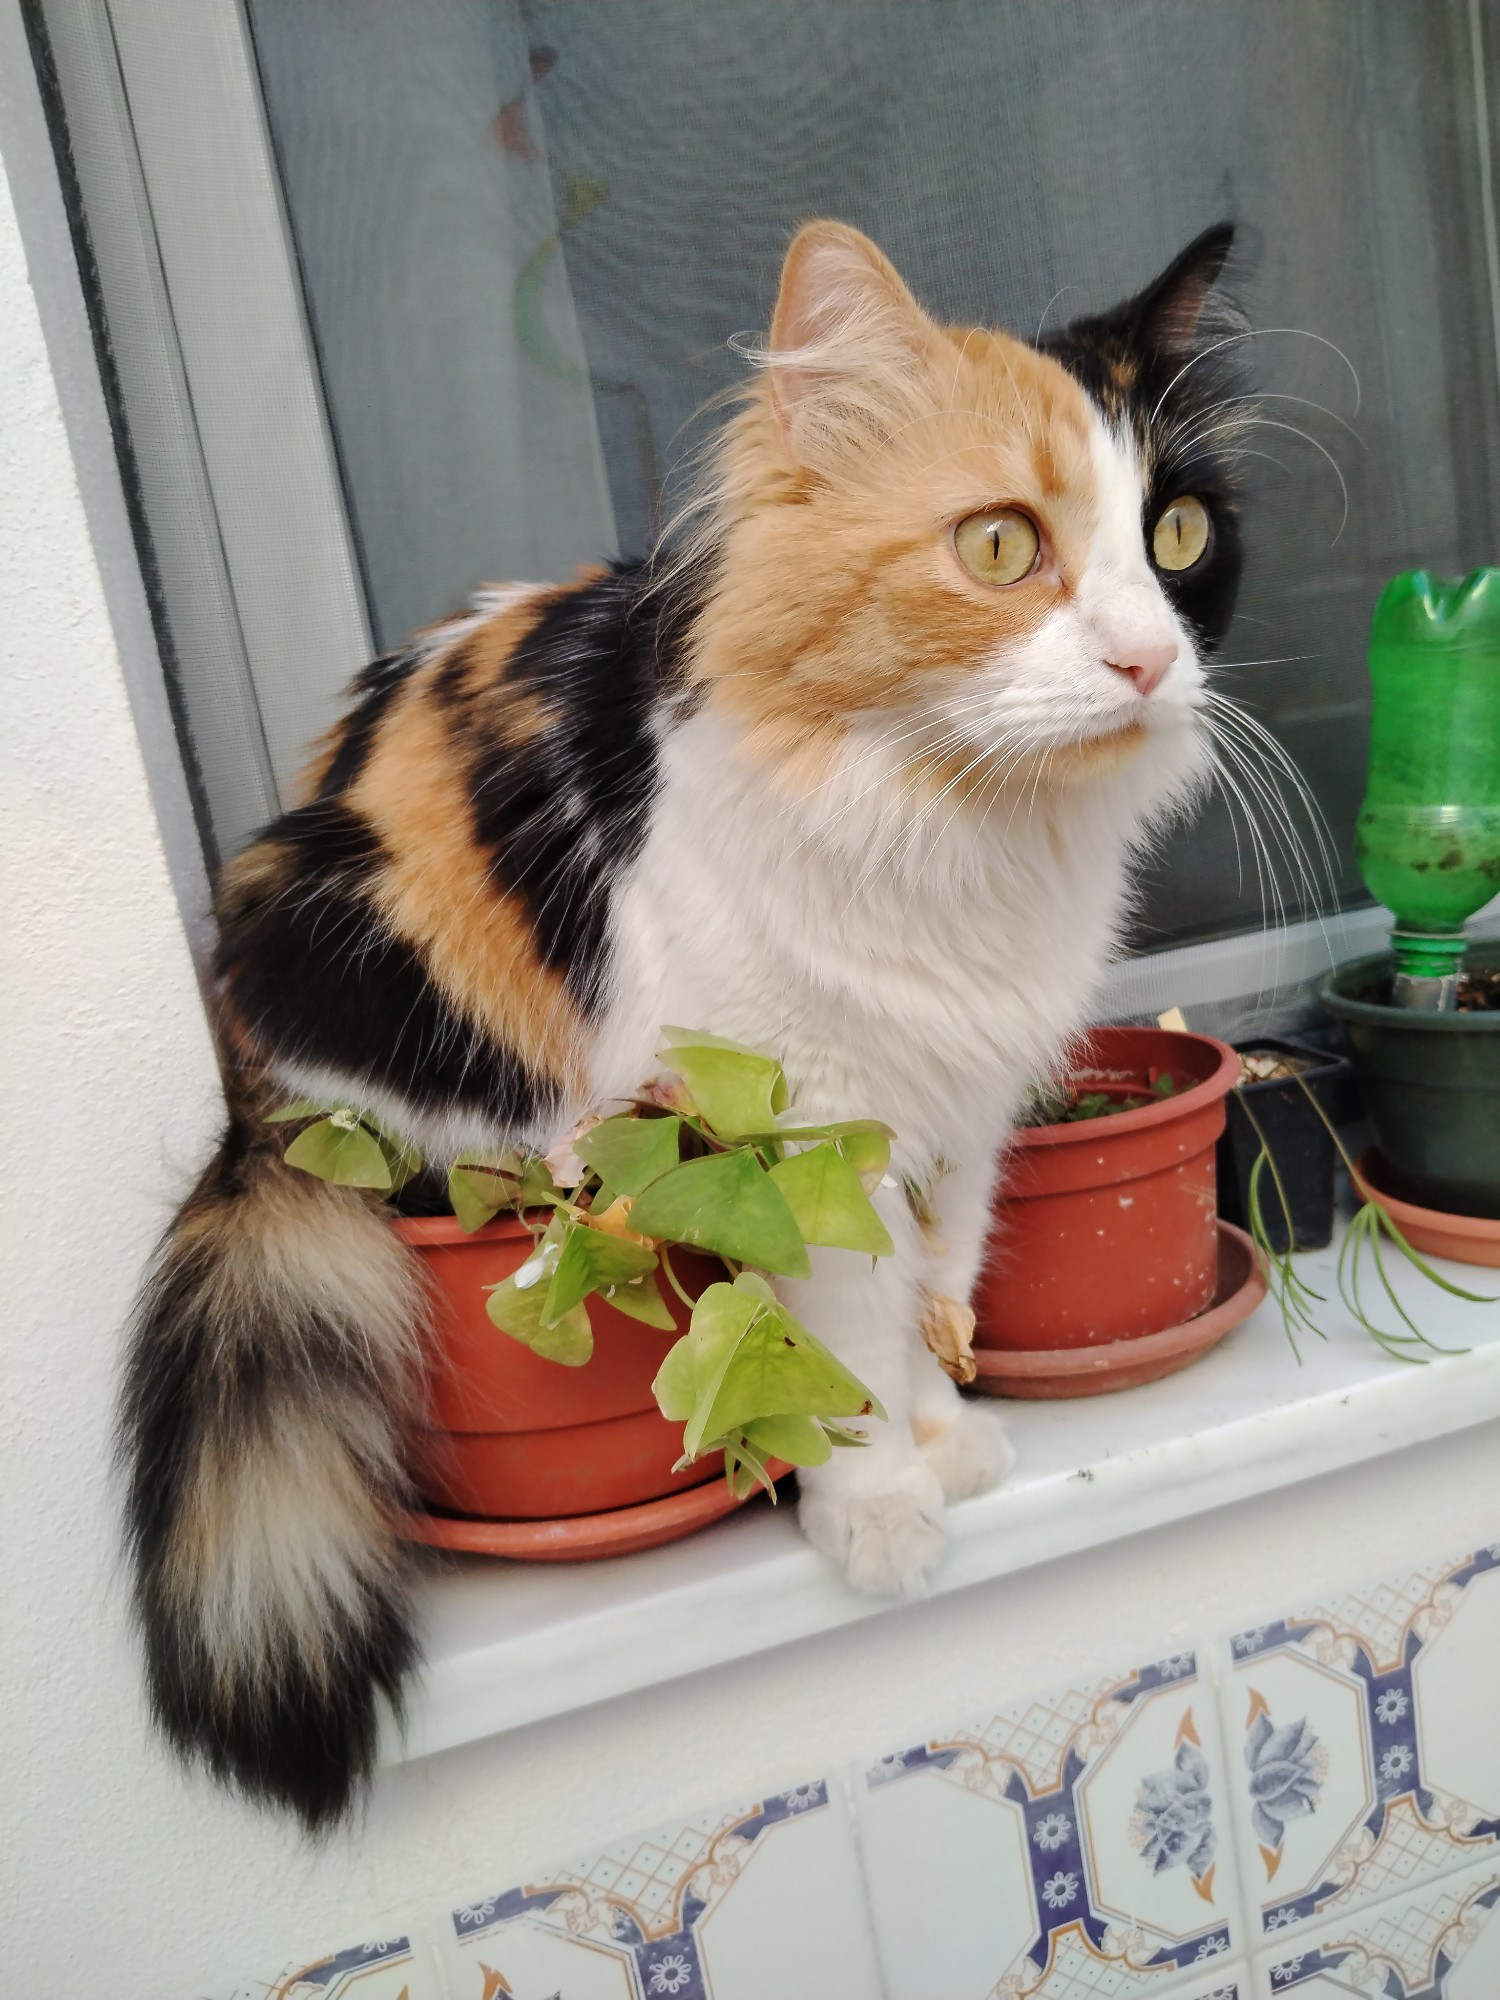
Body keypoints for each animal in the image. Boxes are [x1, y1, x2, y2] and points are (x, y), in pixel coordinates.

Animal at [117, 219, 1248, 1832]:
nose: (1152, 663)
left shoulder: (955, 1117)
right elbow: (837, 1332)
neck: (956, 832)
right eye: (1000, 547)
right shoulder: (795, 1131)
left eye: (1181, 541)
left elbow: (928, 1293)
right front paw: (879, 1505)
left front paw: (940, 1438)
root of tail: (253, 1110)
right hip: (371, 992)